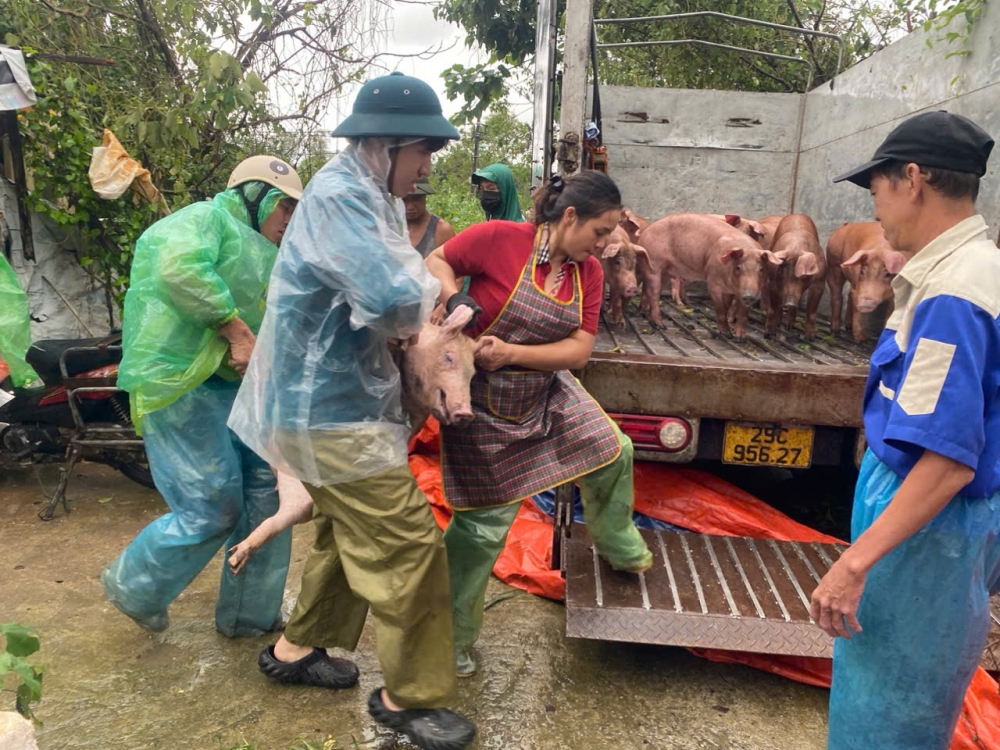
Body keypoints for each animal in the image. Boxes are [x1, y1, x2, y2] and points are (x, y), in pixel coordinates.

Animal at [229, 306, 478, 576]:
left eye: (473, 374)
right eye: (449, 358)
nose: (467, 414)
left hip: (298, 497)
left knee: (282, 516)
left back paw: (235, 561)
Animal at [640, 213, 780, 340]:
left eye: (761, 269)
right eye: (738, 268)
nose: (749, 295)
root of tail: (645, 232)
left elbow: (740, 312)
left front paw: (740, 339)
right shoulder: (713, 282)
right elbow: (721, 309)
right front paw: (727, 335)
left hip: (666, 271)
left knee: (651, 290)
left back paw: (643, 312)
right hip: (654, 263)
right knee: (653, 293)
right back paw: (661, 326)